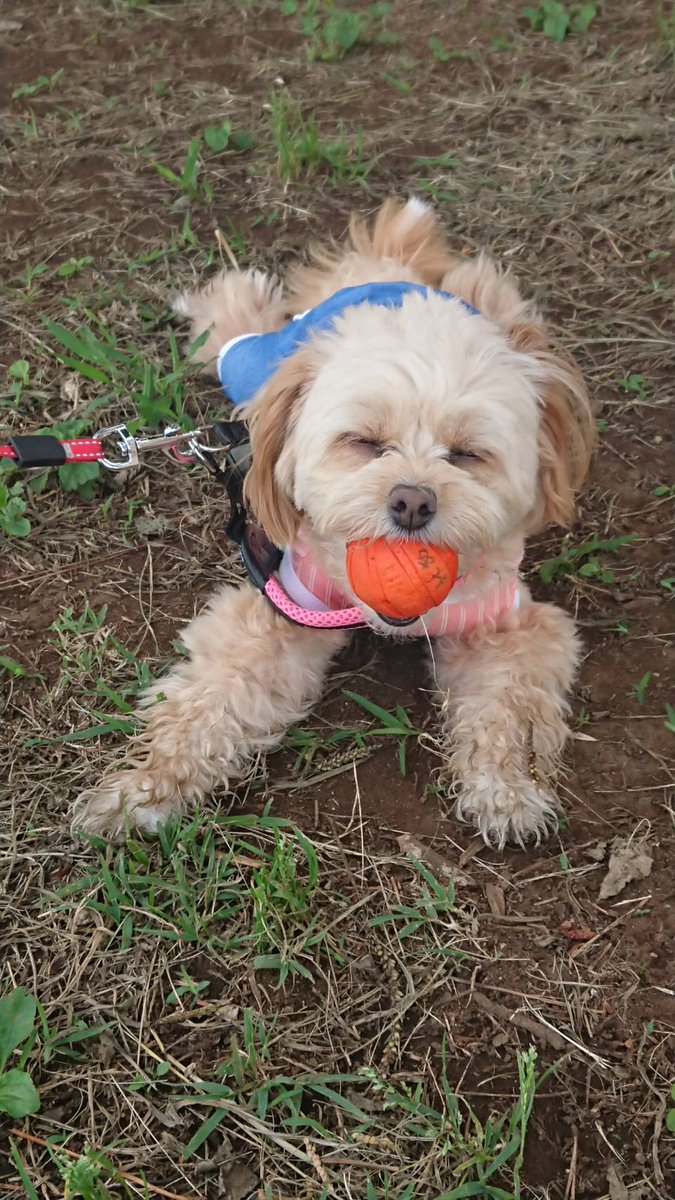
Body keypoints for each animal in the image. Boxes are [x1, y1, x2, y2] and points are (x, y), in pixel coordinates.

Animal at [73, 199, 590, 844]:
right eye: (364, 443)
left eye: (468, 454)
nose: (412, 501)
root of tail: (384, 279)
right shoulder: (281, 608)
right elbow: (211, 703)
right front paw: (142, 788)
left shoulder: (510, 626)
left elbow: (509, 710)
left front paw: (508, 789)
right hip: (259, 360)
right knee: (236, 334)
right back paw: (228, 294)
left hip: (500, 312)